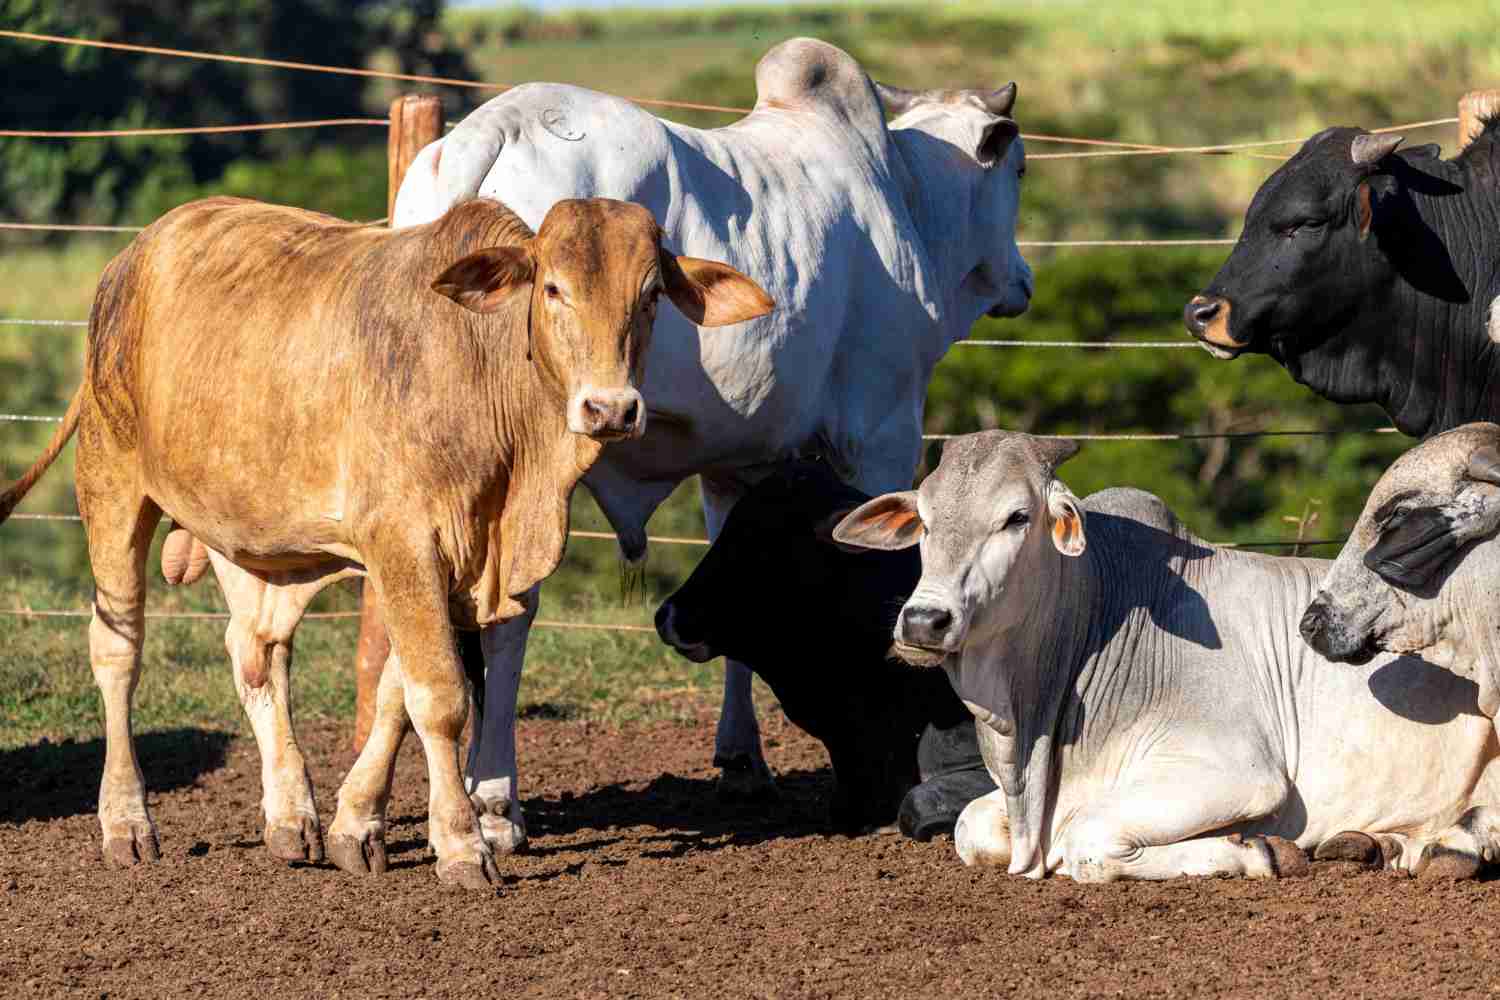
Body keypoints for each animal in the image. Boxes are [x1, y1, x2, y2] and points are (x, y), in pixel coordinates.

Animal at [0, 195, 771, 888]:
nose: (610, 409)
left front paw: (356, 824)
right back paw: (127, 821)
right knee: (118, 650)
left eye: (650, 296)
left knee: (257, 653)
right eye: (554, 287)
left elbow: (399, 693)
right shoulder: (405, 541)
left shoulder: (452, 560)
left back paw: (292, 816)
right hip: (111, 480)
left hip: (251, 536)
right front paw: (461, 846)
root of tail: (134, 255)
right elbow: (439, 696)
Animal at [832, 430, 1500, 881]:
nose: (924, 620)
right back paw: (1375, 843)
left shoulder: (1239, 773)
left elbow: (1087, 842)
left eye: (1017, 517)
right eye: (923, 519)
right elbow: (969, 825)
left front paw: (1259, 850)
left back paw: (1450, 845)